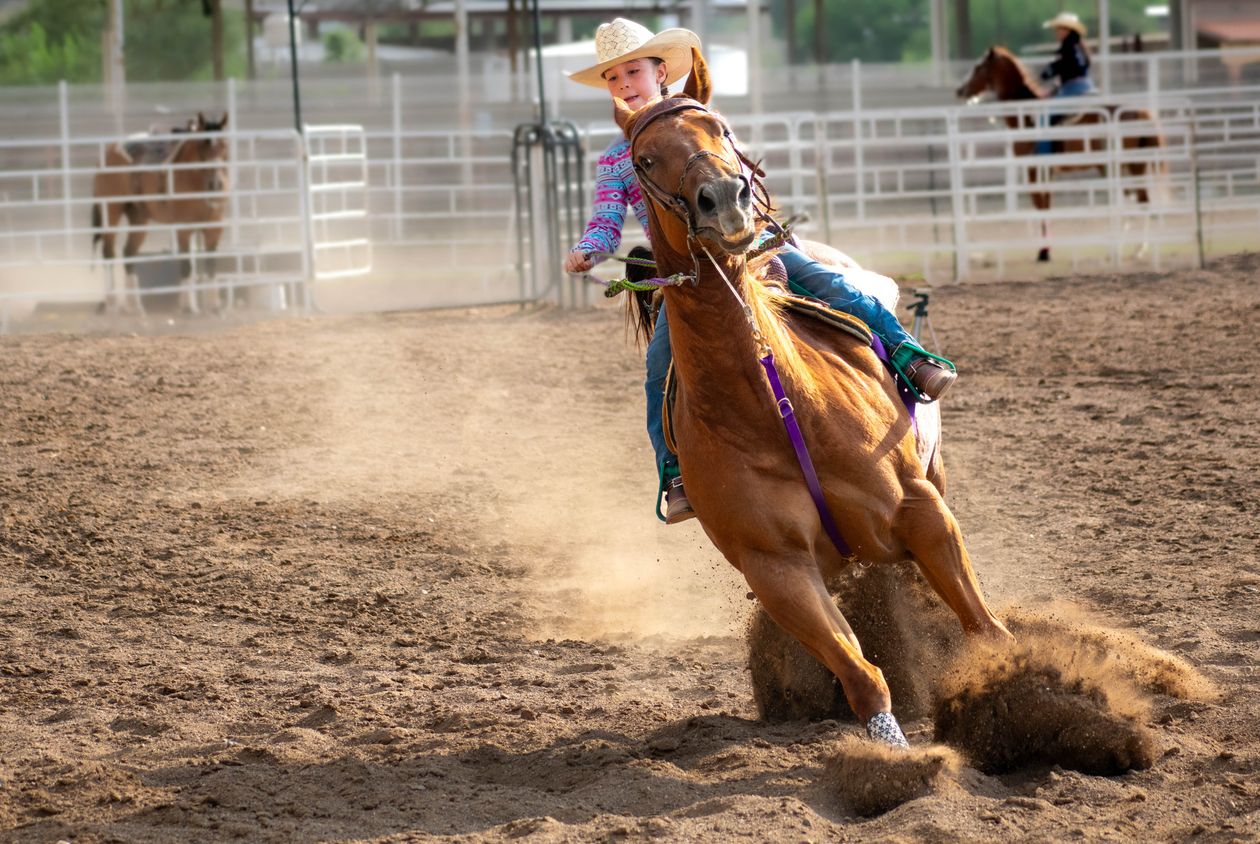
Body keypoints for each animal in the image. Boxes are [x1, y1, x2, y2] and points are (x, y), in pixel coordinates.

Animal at [91, 112, 230, 315]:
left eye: (224, 145)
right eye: (201, 146)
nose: (216, 184)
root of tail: (108, 152)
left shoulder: (214, 228)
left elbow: (211, 265)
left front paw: (215, 307)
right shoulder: (184, 228)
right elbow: (187, 265)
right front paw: (188, 308)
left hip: (139, 218)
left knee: (129, 253)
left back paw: (135, 306)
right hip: (111, 212)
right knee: (108, 252)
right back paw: (112, 304)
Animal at [955, 45, 1165, 262]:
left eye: (978, 67)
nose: (960, 90)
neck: (1028, 118)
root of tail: (1142, 112)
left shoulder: (1033, 171)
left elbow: (1041, 206)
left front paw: (1044, 252)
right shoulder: (1047, 172)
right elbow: (1046, 205)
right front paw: (1046, 249)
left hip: (1128, 165)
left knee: (1141, 201)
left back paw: (1138, 248)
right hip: (1125, 166)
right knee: (1133, 199)